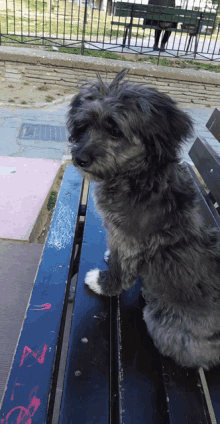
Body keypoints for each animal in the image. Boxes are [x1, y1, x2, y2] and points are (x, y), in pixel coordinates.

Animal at [67, 68, 220, 370]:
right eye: (84, 126)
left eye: (115, 130)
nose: (79, 158)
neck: (139, 176)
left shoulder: (128, 240)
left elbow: (119, 267)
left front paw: (103, 283)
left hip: (160, 320)